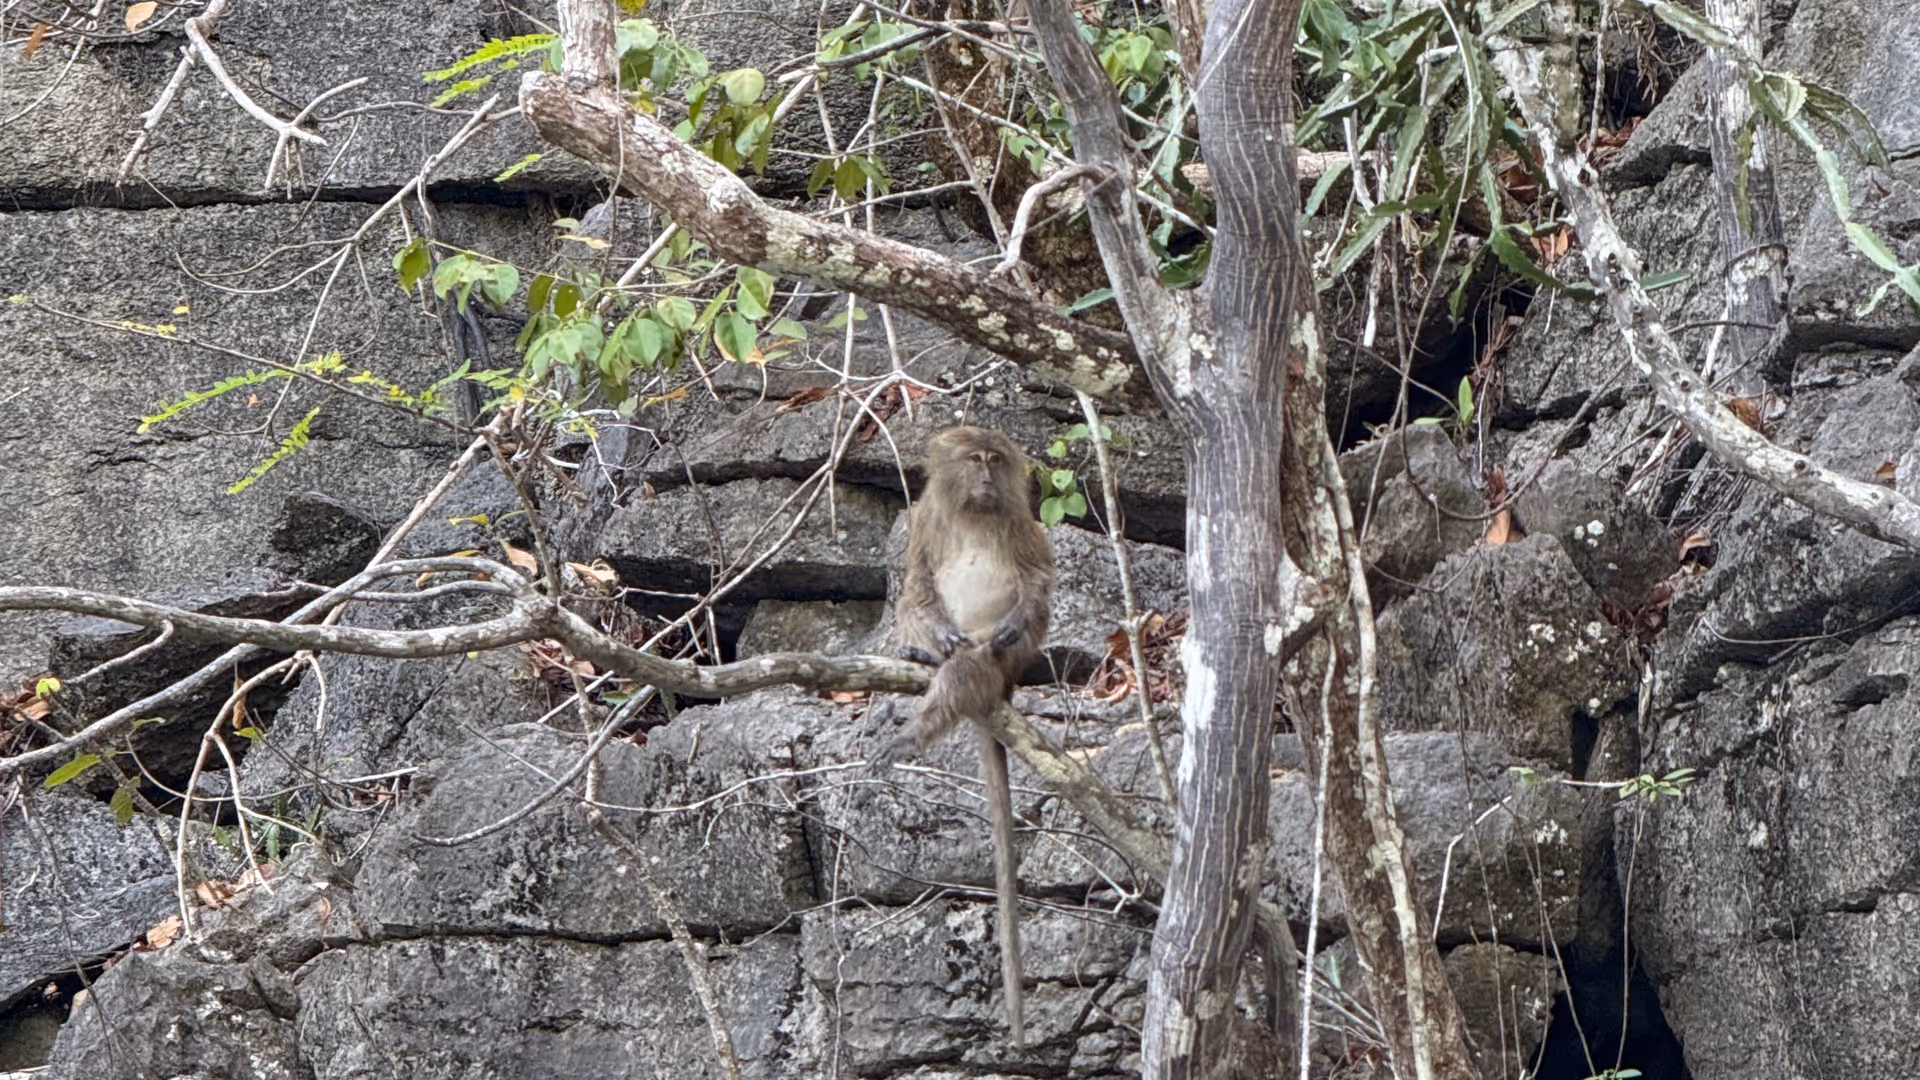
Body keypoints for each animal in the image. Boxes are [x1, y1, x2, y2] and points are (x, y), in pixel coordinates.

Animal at [876, 424, 1055, 1047]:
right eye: (974, 459)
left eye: (993, 461)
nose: (983, 475)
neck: (974, 511)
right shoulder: (927, 518)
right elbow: (916, 584)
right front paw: (930, 636)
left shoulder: (1020, 518)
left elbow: (1037, 582)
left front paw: (1017, 618)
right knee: (917, 609)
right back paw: (921, 655)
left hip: (1003, 668)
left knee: (972, 666)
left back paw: (919, 728)